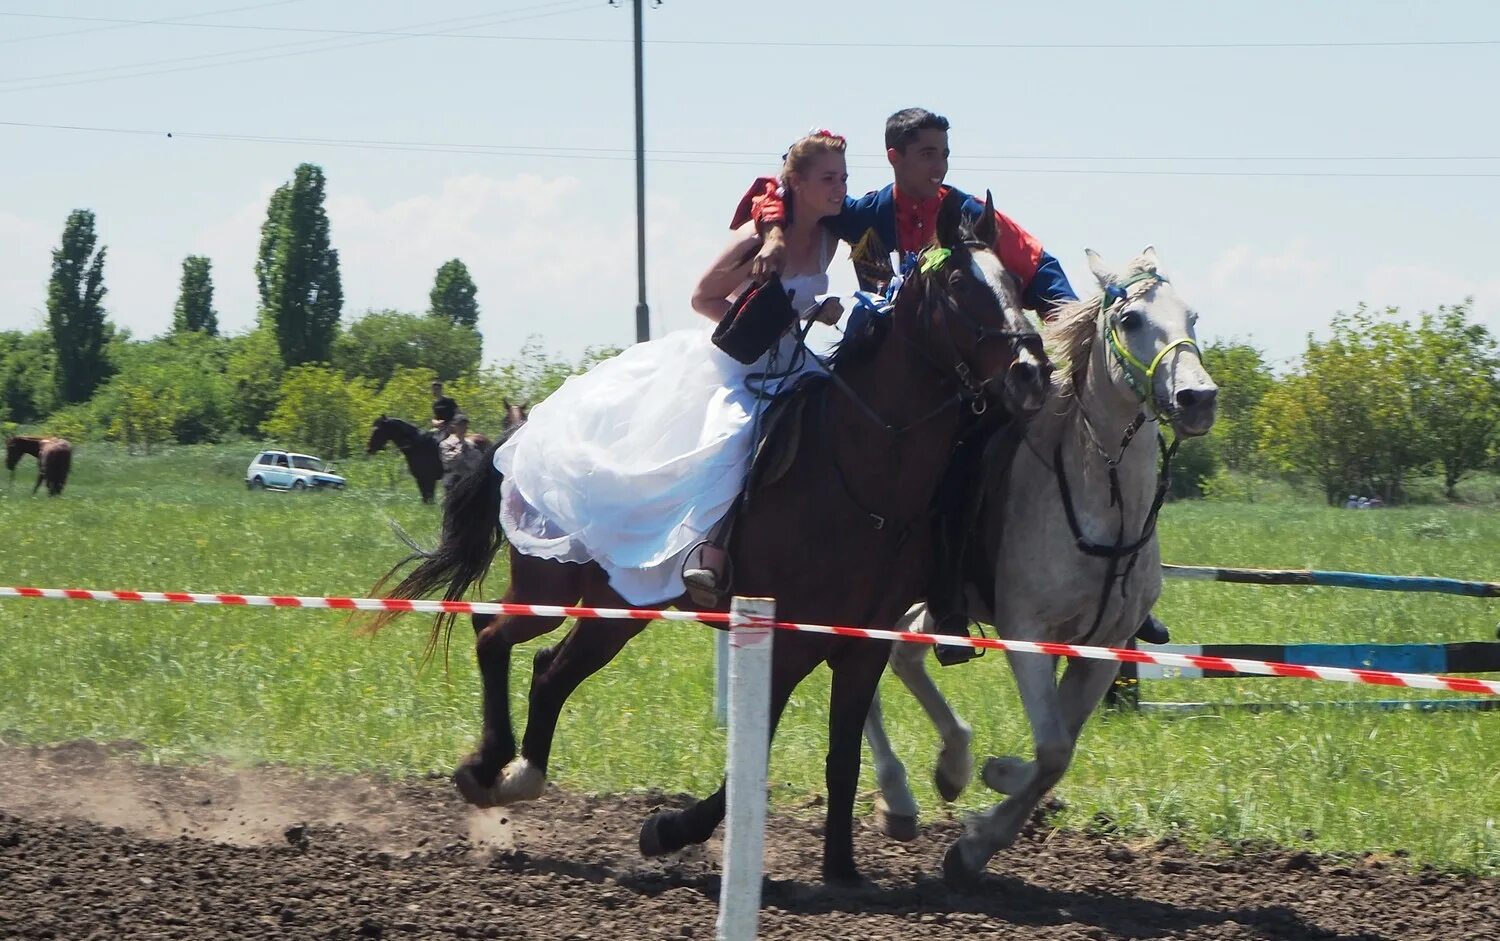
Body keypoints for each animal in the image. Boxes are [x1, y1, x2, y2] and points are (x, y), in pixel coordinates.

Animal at [372, 191, 1056, 882]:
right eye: (957, 283)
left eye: (1012, 279)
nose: (1032, 371)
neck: (864, 468)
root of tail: (518, 433)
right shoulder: (788, 638)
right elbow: (756, 754)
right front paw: (671, 829)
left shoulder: (862, 642)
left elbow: (842, 756)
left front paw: (841, 869)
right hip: (555, 584)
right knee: (494, 636)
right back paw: (490, 767)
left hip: (616, 607)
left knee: (545, 669)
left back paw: (515, 774)